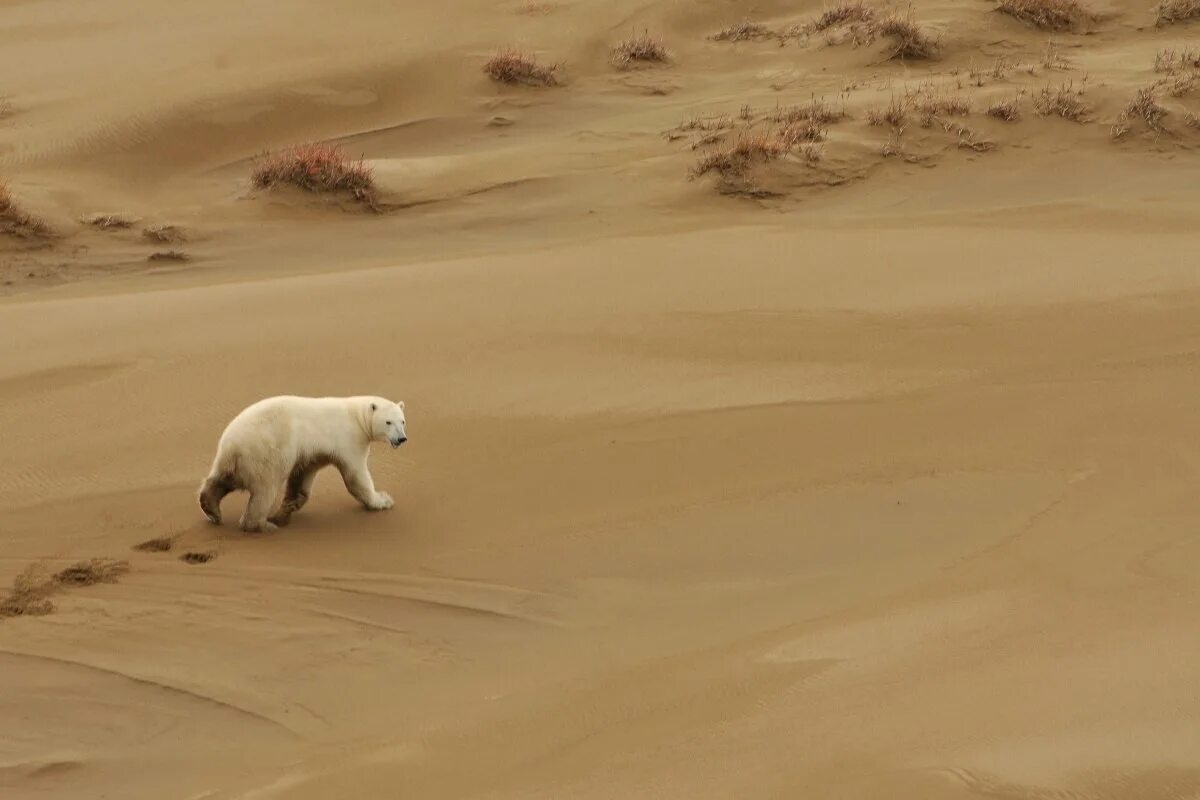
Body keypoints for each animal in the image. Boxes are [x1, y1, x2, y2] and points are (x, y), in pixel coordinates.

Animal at [194, 393, 405, 532]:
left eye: (402, 421)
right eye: (388, 422)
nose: (402, 438)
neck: (356, 416)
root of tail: (232, 446)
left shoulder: (312, 452)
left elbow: (301, 477)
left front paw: (289, 506)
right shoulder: (349, 439)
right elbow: (357, 476)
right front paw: (383, 500)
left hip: (233, 460)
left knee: (221, 480)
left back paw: (211, 509)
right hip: (264, 453)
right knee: (265, 490)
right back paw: (264, 524)